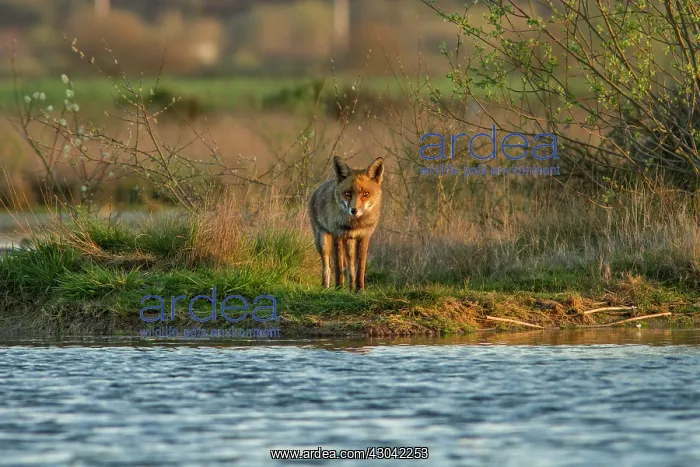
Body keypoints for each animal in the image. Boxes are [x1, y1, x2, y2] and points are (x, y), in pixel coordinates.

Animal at [308, 156, 385, 292]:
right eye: (347, 193)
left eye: (366, 194)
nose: (354, 210)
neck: (354, 225)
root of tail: (318, 188)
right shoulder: (337, 235)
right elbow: (338, 267)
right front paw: (338, 289)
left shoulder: (364, 237)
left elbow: (360, 269)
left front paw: (359, 290)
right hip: (323, 241)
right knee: (327, 267)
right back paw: (325, 287)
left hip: (349, 243)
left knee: (350, 268)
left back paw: (351, 288)